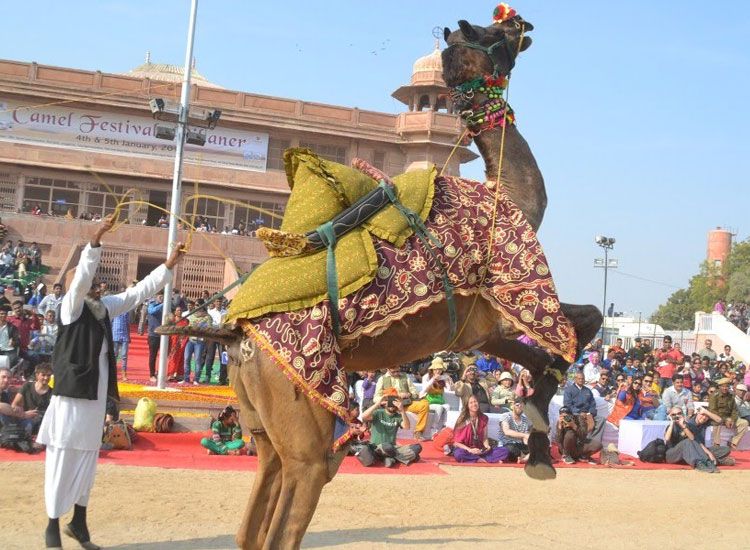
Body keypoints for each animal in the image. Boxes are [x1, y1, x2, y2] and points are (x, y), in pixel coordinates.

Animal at [162, 10, 604, 548]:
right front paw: (541, 433)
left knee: (255, 515)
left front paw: (539, 448)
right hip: (303, 412)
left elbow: (543, 353)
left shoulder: (477, 328)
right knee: (294, 503)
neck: (507, 194)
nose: (523, 24)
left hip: (259, 417)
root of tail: (231, 331)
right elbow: (583, 323)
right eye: (491, 32)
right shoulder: (513, 292)